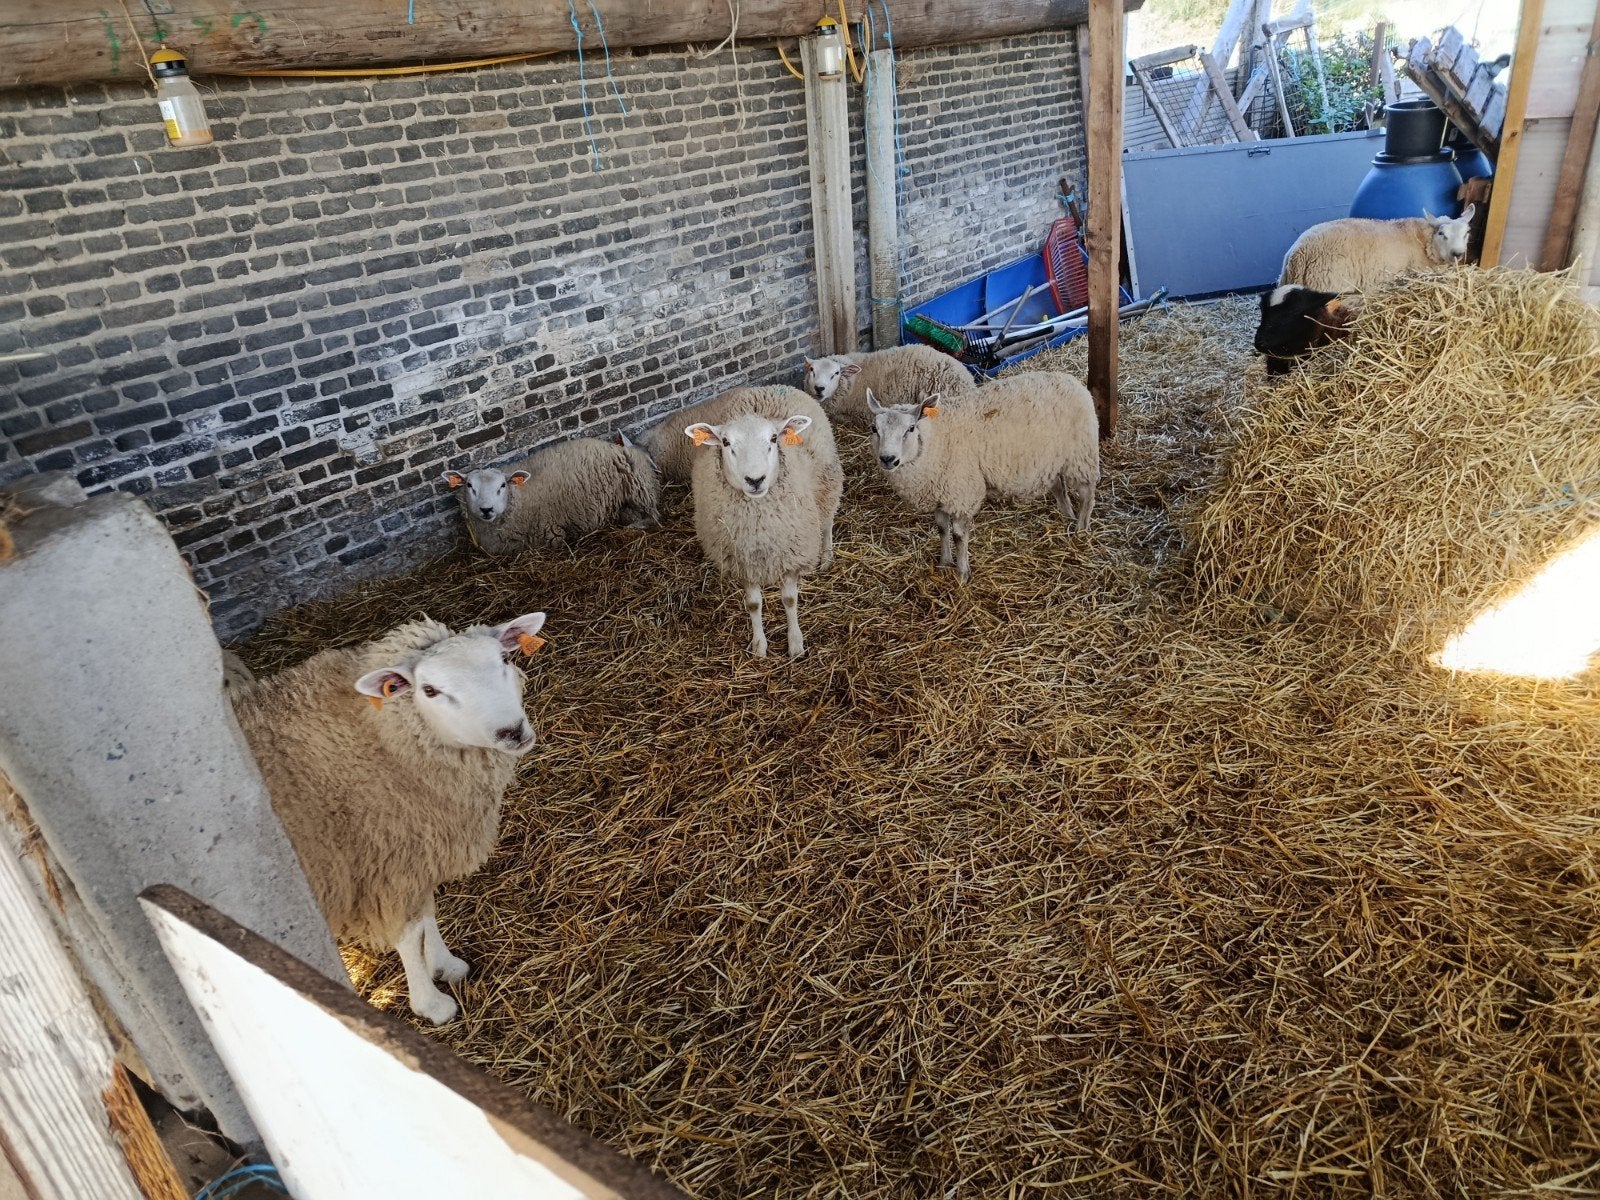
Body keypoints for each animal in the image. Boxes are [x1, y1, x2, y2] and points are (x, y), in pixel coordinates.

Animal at [230, 611, 548, 1025]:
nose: (511, 731)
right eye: (429, 690)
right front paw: (431, 1003)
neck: (380, 740)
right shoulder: (384, 861)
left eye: (505, 659)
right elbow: (409, 935)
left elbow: (427, 912)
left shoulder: (414, 847)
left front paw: (445, 965)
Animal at [443, 436, 659, 556]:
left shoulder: (552, 533)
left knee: (654, 516)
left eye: (502, 485)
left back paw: (633, 527)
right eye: (469, 486)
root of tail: (618, 447)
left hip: (640, 490)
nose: (486, 509)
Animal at [684, 386, 843, 659]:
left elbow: (789, 600)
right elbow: (753, 604)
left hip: (828, 483)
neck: (759, 529)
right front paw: (759, 645)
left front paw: (795, 643)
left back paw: (826, 557)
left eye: (773, 438)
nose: (755, 480)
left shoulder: (791, 556)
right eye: (725, 442)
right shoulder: (744, 561)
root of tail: (766, 387)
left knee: (826, 523)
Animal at [867, 372, 1098, 582]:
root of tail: (1072, 379)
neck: (936, 440)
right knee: (1059, 486)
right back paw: (1068, 516)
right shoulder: (940, 494)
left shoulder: (961, 493)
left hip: (1081, 454)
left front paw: (962, 574)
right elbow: (942, 529)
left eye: (911, 428)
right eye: (874, 429)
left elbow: (959, 536)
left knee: (1087, 494)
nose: (888, 459)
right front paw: (944, 562)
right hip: (1051, 461)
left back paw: (1081, 529)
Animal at [1278, 206, 1476, 293]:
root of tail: (1298, 252)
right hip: (1327, 283)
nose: (1458, 254)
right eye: (1442, 233)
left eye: (1467, 233)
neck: (1425, 242)